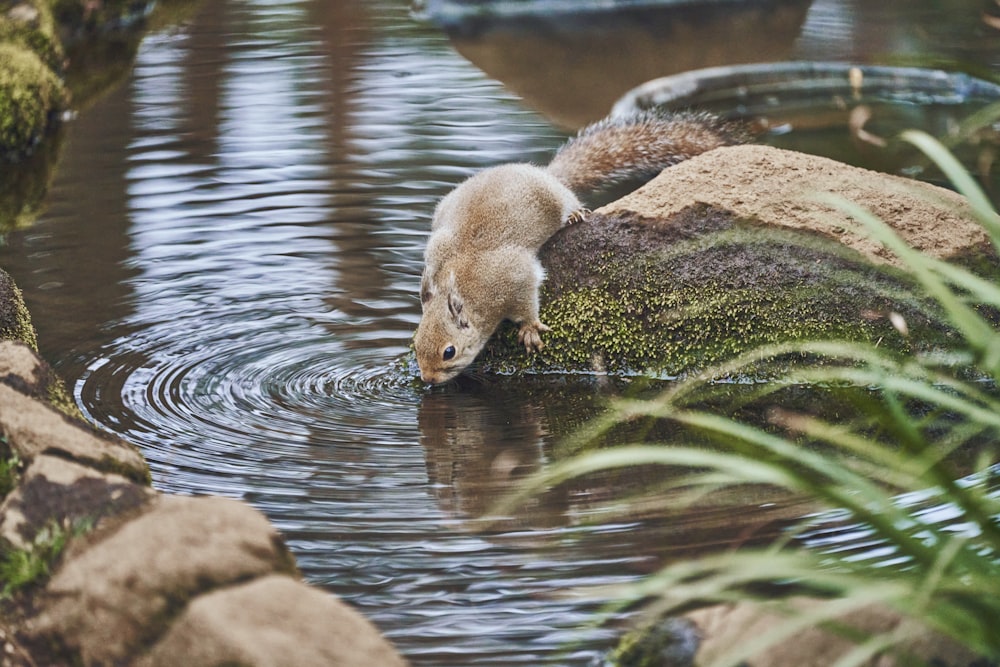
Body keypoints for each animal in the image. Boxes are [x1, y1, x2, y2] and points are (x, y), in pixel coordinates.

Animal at [410, 107, 748, 384]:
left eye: (449, 352)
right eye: (414, 343)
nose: (427, 379)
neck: (465, 288)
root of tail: (543, 173)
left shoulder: (513, 277)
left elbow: (527, 300)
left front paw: (529, 328)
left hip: (555, 197)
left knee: (568, 200)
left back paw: (573, 214)